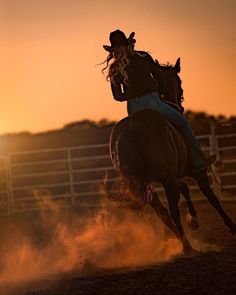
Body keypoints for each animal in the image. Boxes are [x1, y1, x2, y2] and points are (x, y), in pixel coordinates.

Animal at [105, 59, 236, 254]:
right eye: (179, 82)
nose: (180, 105)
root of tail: (130, 130)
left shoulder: (173, 174)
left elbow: (185, 188)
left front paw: (194, 220)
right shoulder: (196, 173)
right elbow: (211, 196)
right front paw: (231, 226)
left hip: (148, 184)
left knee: (163, 213)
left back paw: (179, 241)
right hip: (166, 180)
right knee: (173, 210)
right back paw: (187, 247)